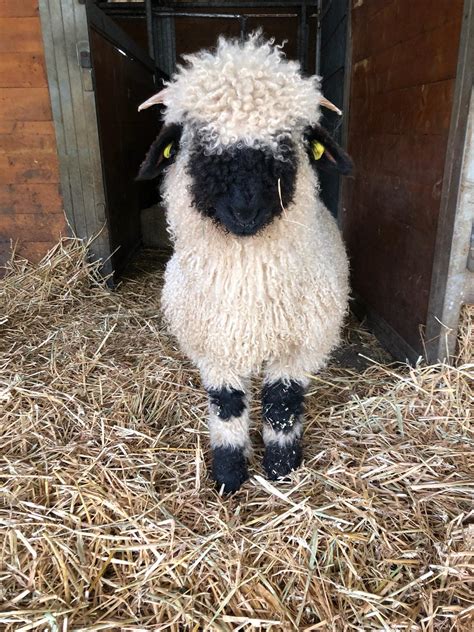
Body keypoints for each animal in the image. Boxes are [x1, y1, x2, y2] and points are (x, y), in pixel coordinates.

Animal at [136, 33, 352, 494]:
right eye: (199, 140)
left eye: (287, 141)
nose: (245, 210)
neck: (249, 286)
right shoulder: (215, 346)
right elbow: (228, 406)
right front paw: (229, 474)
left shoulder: (299, 346)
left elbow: (281, 404)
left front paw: (282, 469)